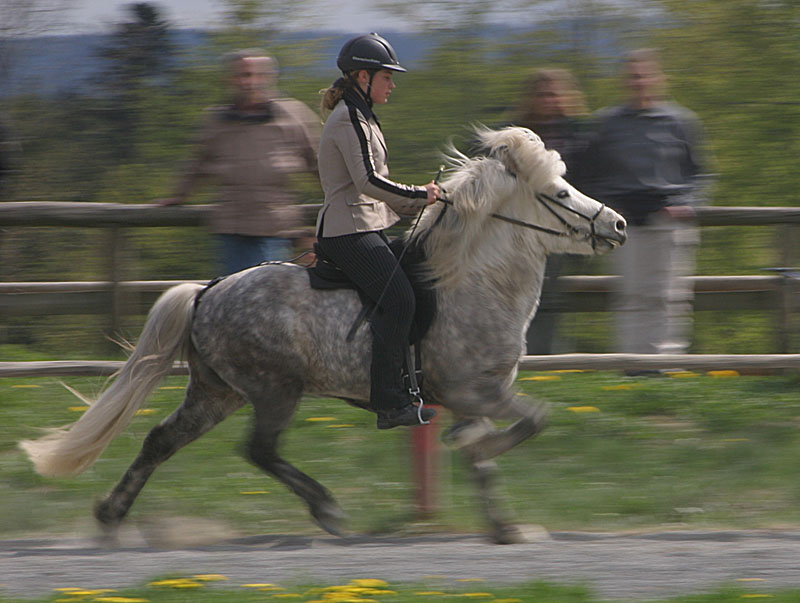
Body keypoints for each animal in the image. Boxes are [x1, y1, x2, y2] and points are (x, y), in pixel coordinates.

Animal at [20, 126, 624, 544]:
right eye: (561, 193)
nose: (616, 224)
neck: (471, 282)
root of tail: (207, 292)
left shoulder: (468, 397)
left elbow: (488, 462)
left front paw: (505, 528)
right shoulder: (478, 392)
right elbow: (527, 424)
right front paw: (479, 461)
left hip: (218, 392)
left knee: (161, 441)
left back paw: (110, 516)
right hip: (272, 389)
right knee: (260, 450)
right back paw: (328, 509)